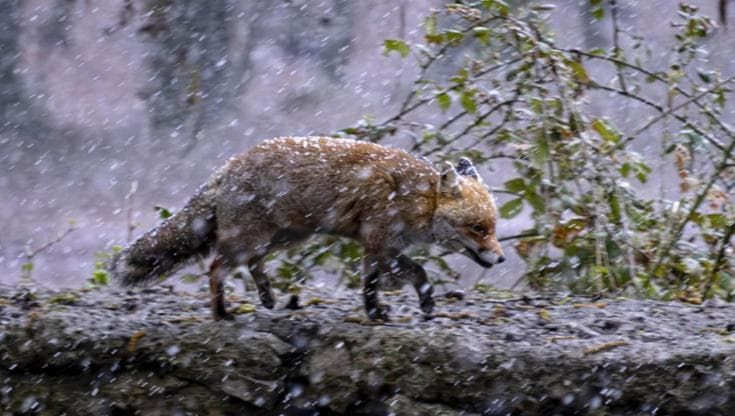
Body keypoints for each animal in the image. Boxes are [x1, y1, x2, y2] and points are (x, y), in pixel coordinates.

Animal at [111, 136, 504, 321]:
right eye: (478, 228)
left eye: (493, 227)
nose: (500, 259)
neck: (418, 198)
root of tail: (227, 166)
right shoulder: (381, 244)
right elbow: (417, 273)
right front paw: (419, 305)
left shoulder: (378, 249)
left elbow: (370, 285)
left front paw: (376, 313)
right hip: (251, 240)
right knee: (216, 269)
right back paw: (221, 313)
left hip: (285, 237)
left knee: (254, 264)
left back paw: (268, 298)